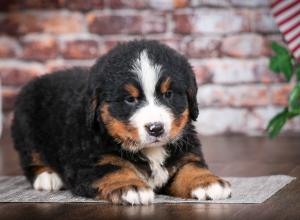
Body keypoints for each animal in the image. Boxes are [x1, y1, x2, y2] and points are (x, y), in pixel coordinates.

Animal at [11, 39, 232, 205]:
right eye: (130, 99)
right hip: (26, 127)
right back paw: (47, 176)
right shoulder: (90, 162)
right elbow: (114, 170)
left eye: (168, 94)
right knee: (30, 158)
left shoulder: (185, 152)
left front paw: (207, 181)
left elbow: (190, 167)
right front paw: (130, 186)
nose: (156, 129)